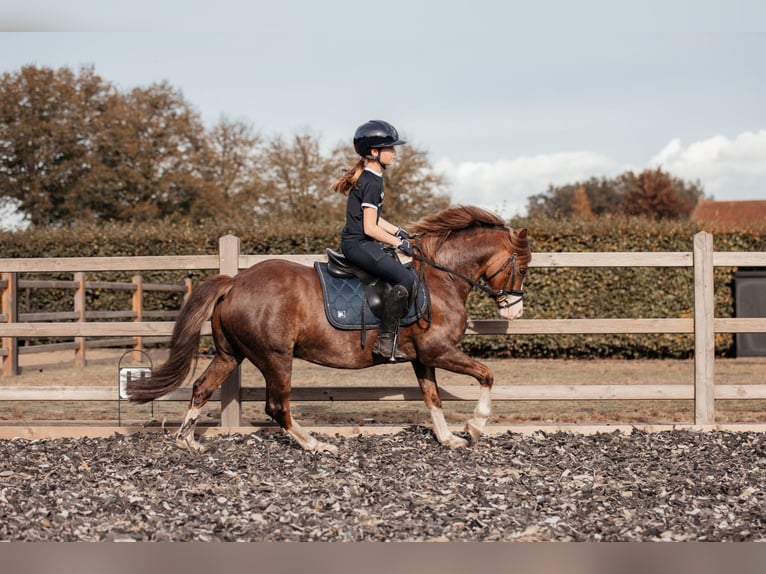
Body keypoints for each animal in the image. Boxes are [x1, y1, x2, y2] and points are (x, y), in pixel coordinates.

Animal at [127, 207, 536, 454]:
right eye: (521, 268)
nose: (514, 310)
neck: (440, 278)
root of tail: (235, 282)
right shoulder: (438, 351)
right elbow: (487, 375)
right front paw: (475, 426)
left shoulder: (423, 357)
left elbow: (432, 397)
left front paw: (448, 437)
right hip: (275, 357)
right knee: (277, 406)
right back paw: (315, 445)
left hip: (232, 353)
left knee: (202, 387)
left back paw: (188, 443)